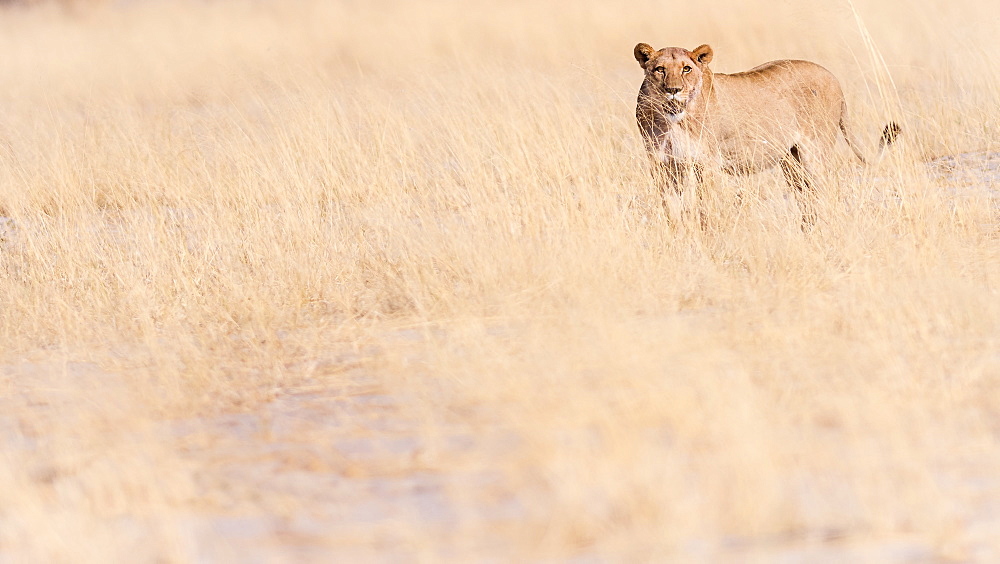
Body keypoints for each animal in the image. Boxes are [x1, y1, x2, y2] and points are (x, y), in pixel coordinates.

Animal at [636, 43, 904, 225]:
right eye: (659, 69)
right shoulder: (662, 165)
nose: (673, 90)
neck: (672, 121)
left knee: (827, 190)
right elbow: (670, 209)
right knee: (805, 196)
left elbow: (706, 208)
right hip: (791, 160)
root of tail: (834, 78)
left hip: (814, 152)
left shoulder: (707, 164)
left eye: (687, 69)